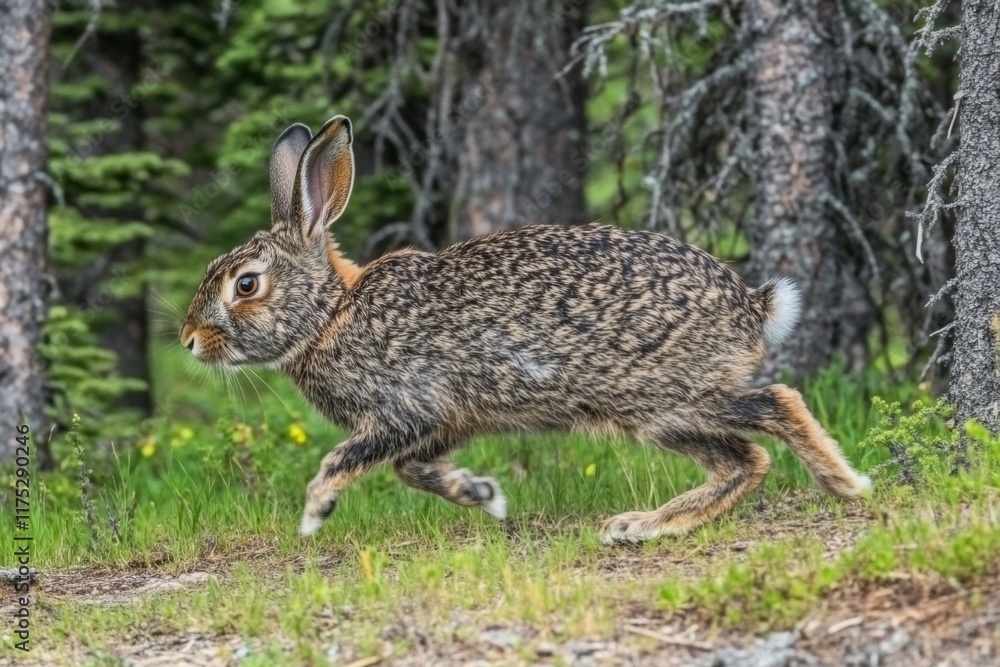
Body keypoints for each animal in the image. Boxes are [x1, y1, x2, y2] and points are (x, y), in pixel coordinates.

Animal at [180, 115, 871, 543]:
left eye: (246, 285)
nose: (189, 340)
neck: (329, 315)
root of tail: (751, 305)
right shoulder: (441, 426)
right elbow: (413, 471)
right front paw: (484, 494)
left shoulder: (404, 410)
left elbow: (349, 458)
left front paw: (316, 511)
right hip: (664, 414)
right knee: (744, 460)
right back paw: (643, 525)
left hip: (667, 397)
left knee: (774, 406)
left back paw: (847, 484)